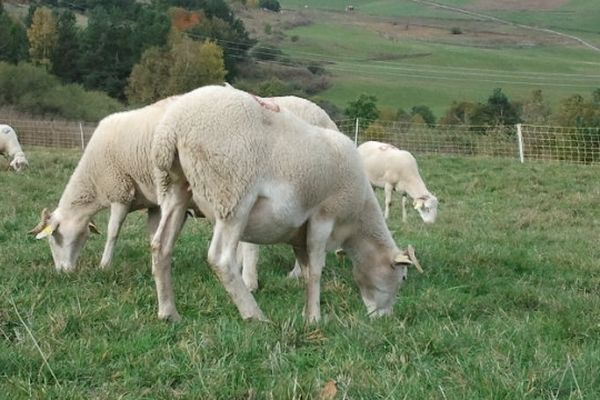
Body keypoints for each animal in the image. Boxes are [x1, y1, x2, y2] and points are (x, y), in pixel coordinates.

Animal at [149, 86, 422, 324]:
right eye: (403, 277)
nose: (385, 319)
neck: (356, 222)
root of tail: (173, 128)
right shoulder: (324, 216)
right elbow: (316, 269)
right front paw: (315, 318)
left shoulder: (300, 233)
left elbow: (306, 269)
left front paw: (307, 311)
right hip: (233, 193)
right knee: (221, 259)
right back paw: (255, 316)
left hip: (173, 187)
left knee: (160, 245)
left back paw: (169, 313)